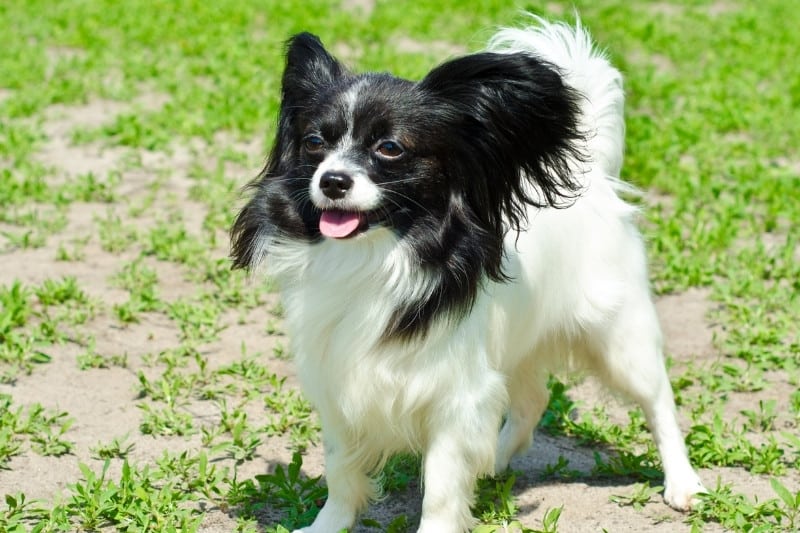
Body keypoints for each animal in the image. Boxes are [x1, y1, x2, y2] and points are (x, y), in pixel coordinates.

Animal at [231, 16, 708, 532]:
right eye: (315, 144)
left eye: (390, 148)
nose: (332, 181)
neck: (377, 256)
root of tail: (594, 178)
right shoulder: (338, 382)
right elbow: (341, 471)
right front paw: (328, 525)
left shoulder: (455, 398)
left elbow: (441, 488)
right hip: (517, 347)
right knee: (532, 401)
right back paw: (493, 462)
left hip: (620, 341)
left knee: (659, 402)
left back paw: (683, 484)